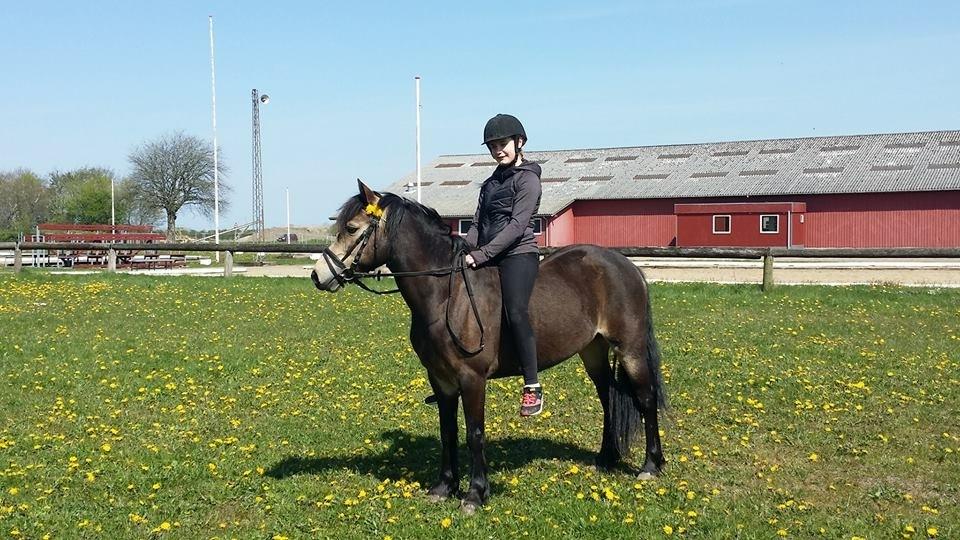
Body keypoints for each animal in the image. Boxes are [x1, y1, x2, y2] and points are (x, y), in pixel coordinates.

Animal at [311, 181, 667, 513]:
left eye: (352, 228)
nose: (318, 274)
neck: (447, 294)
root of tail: (626, 265)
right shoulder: (441, 380)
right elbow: (448, 432)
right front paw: (444, 487)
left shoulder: (472, 379)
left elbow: (474, 433)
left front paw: (474, 494)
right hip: (592, 350)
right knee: (607, 397)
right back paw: (606, 458)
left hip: (630, 349)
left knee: (646, 399)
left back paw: (651, 466)